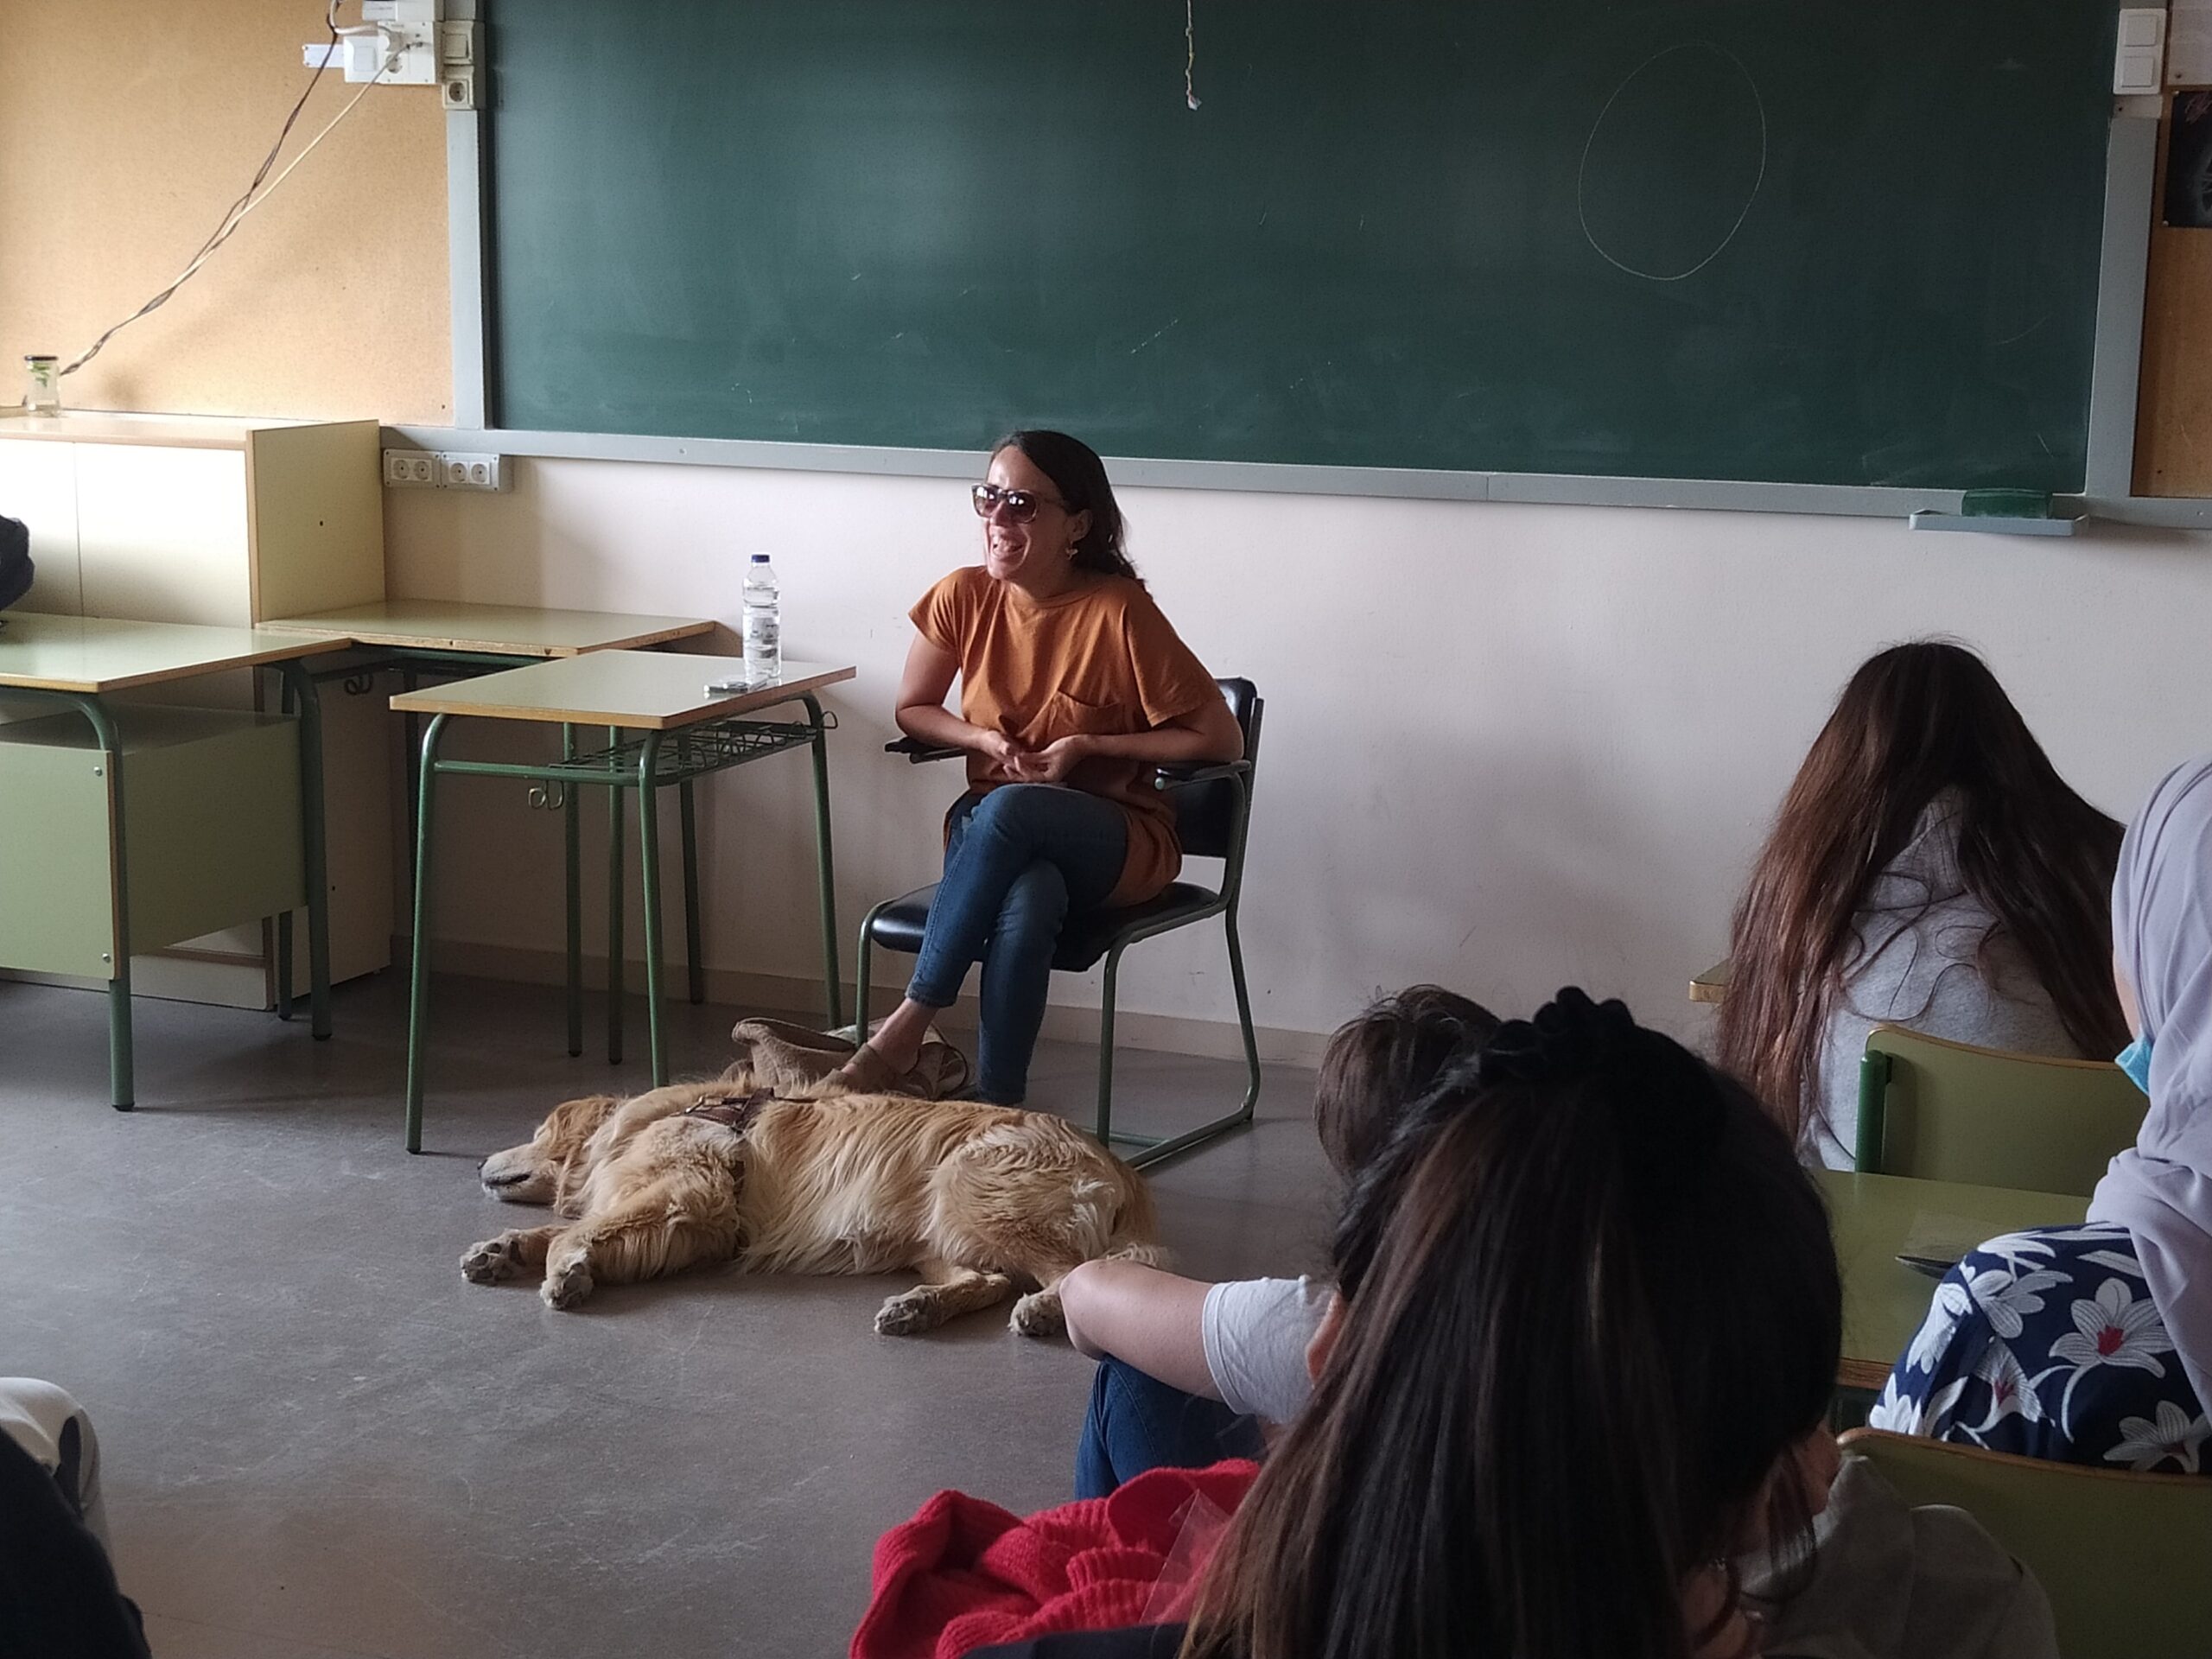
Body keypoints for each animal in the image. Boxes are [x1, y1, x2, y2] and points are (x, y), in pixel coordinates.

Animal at [460, 1066, 1161, 1336]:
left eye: (536, 1131)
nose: (478, 1163)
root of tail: (1119, 1167)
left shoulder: (693, 1195)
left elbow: (576, 1231)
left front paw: (566, 1273)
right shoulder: (693, 1229)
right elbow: (567, 1229)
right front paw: (501, 1250)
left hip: (971, 1189)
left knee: (1085, 1273)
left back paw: (1041, 1310)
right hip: (940, 1228)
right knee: (985, 1278)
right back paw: (917, 1308)